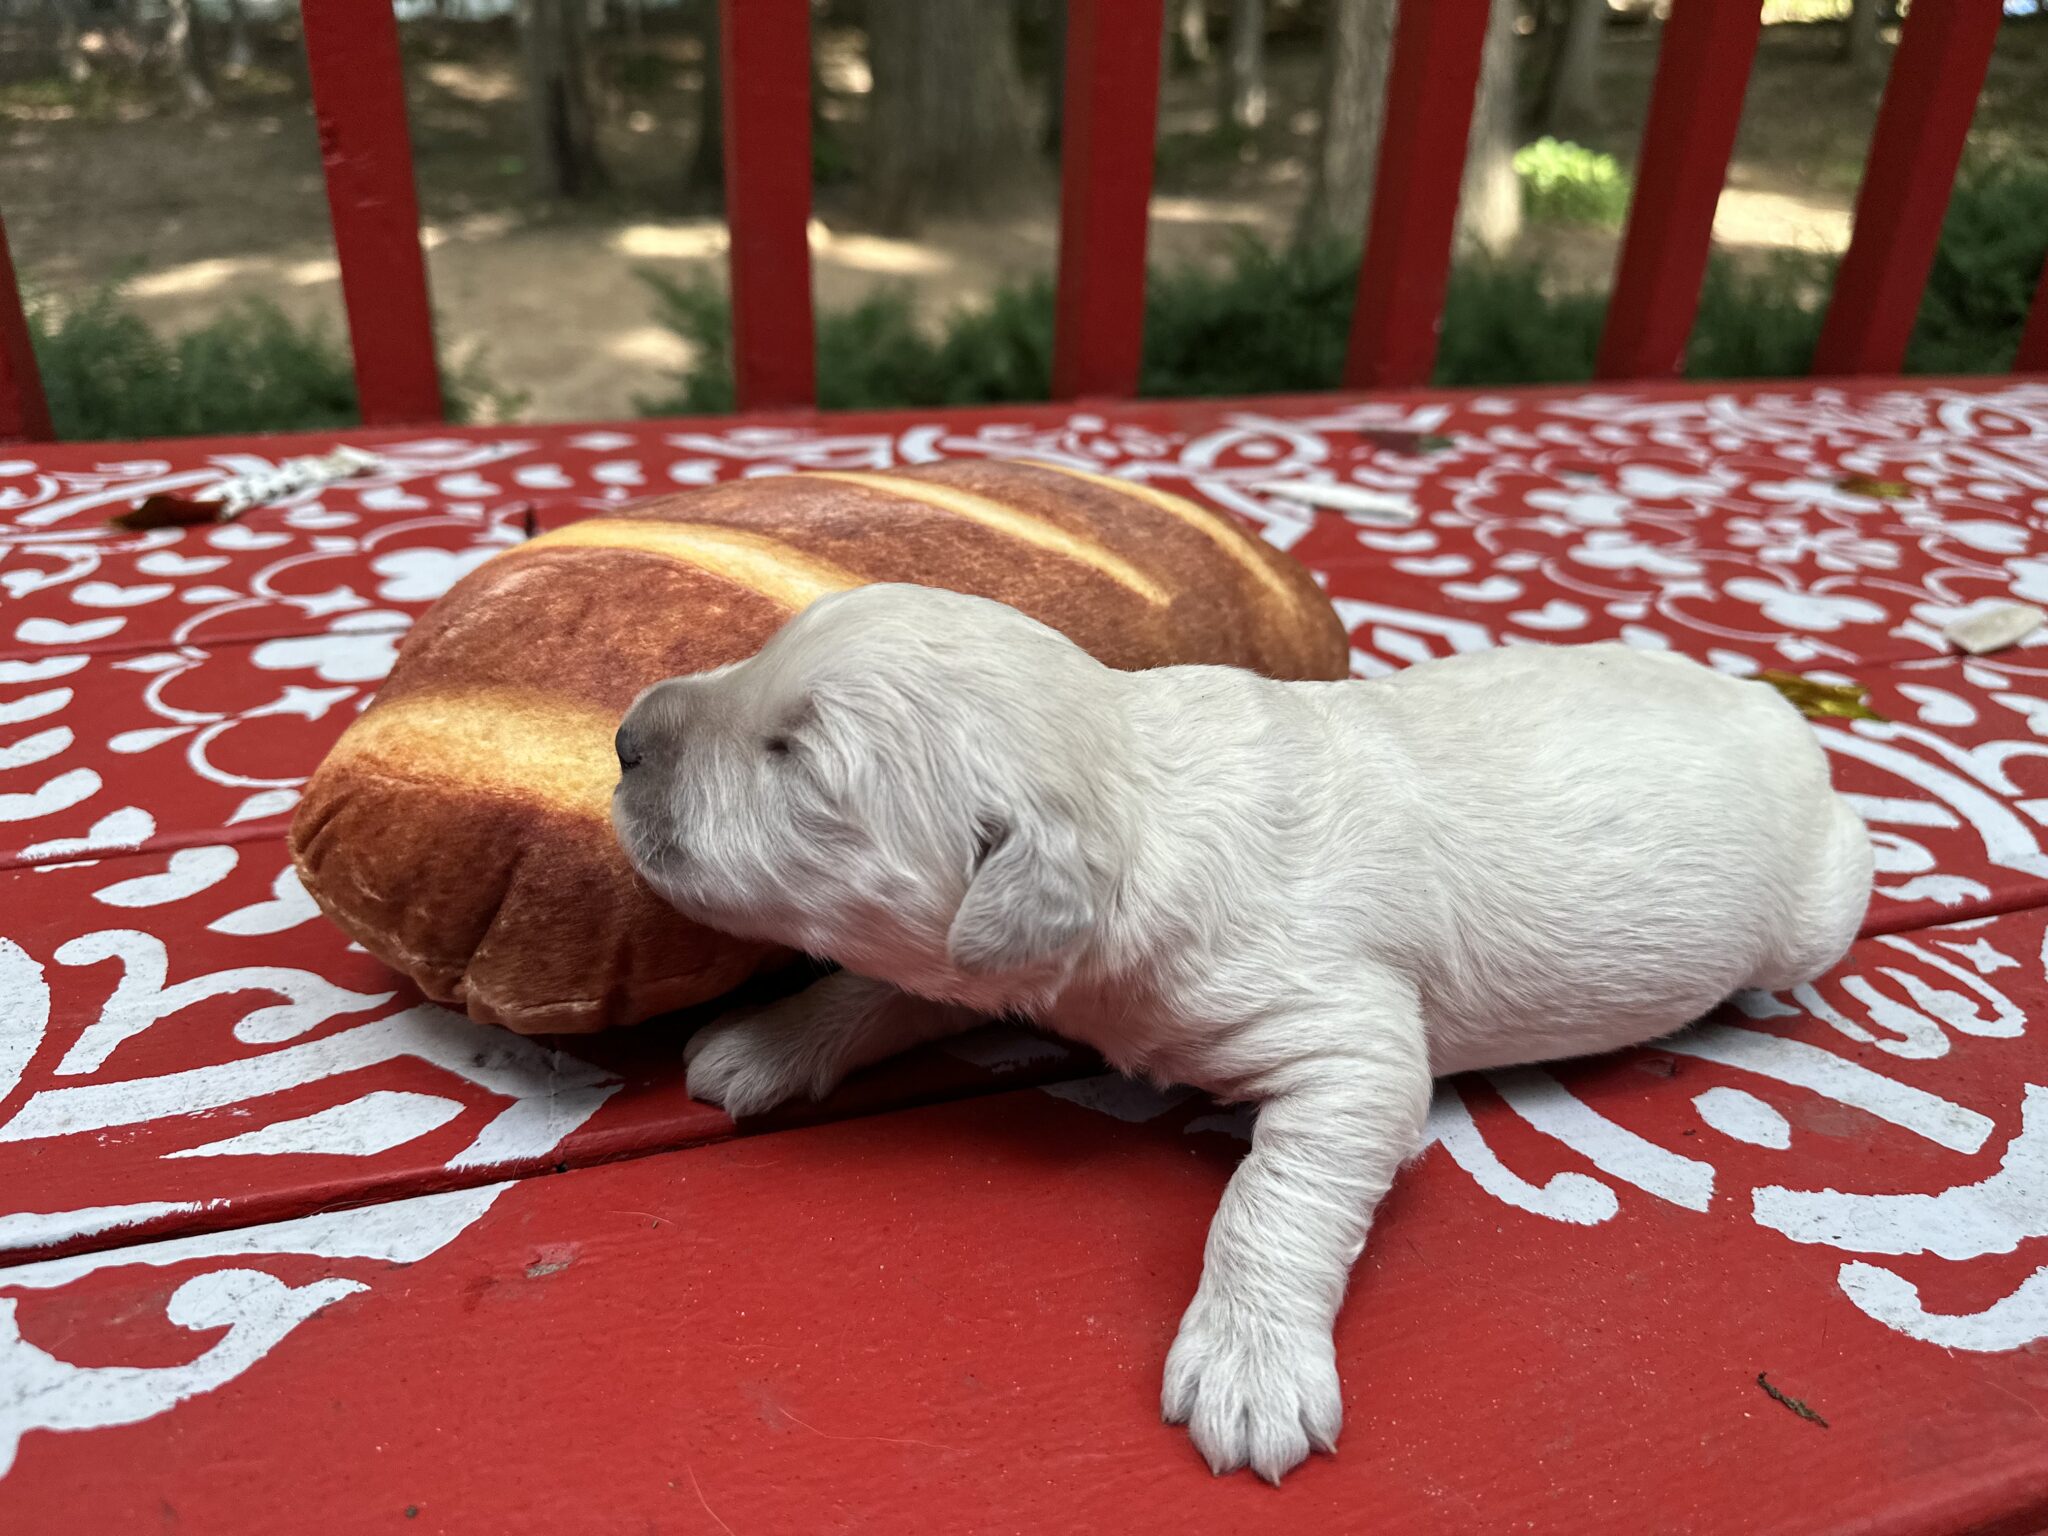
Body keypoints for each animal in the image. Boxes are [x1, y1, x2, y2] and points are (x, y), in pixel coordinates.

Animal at [611, 582, 1873, 1483]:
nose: (623, 735)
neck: (1131, 790)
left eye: (794, 759)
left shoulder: (1352, 1045)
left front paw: (1249, 1370)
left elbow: (1271, 1197)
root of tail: (1768, 702)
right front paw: (766, 1040)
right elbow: (877, 985)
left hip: (1811, 907)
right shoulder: (990, 957)